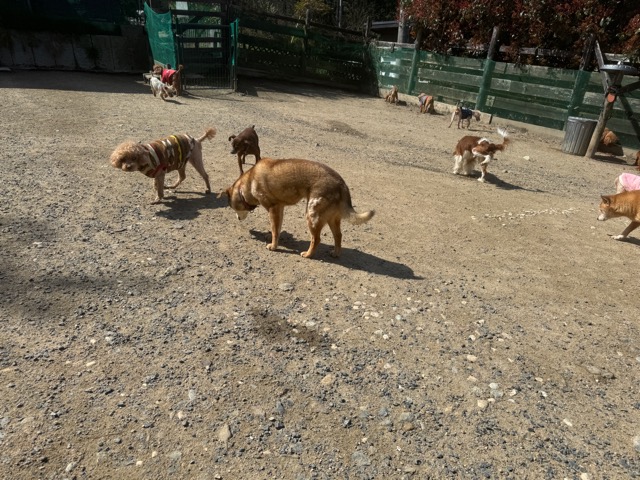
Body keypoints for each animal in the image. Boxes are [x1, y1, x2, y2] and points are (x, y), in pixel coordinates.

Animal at [219, 158, 374, 258]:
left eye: (233, 208)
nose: (237, 218)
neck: (249, 182)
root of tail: (342, 184)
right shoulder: (279, 209)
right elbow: (277, 229)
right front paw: (271, 237)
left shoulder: (273, 209)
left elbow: (275, 230)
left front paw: (273, 246)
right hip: (331, 219)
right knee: (338, 236)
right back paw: (335, 253)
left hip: (312, 215)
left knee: (316, 239)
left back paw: (308, 254)